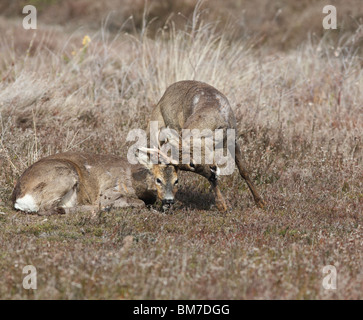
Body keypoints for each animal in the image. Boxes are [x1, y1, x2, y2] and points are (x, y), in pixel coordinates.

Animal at [12, 150, 180, 215]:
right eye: (158, 179)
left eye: (176, 180)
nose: (169, 200)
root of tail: (18, 198)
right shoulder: (107, 192)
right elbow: (140, 203)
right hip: (64, 175)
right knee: (46, 208)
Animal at [148, 79, 264, 212]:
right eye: (190, 166)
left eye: (191, 163)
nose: (213, 172)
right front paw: (222, 205)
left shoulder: (233, 140)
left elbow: (244, 171)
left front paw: (261, 202)